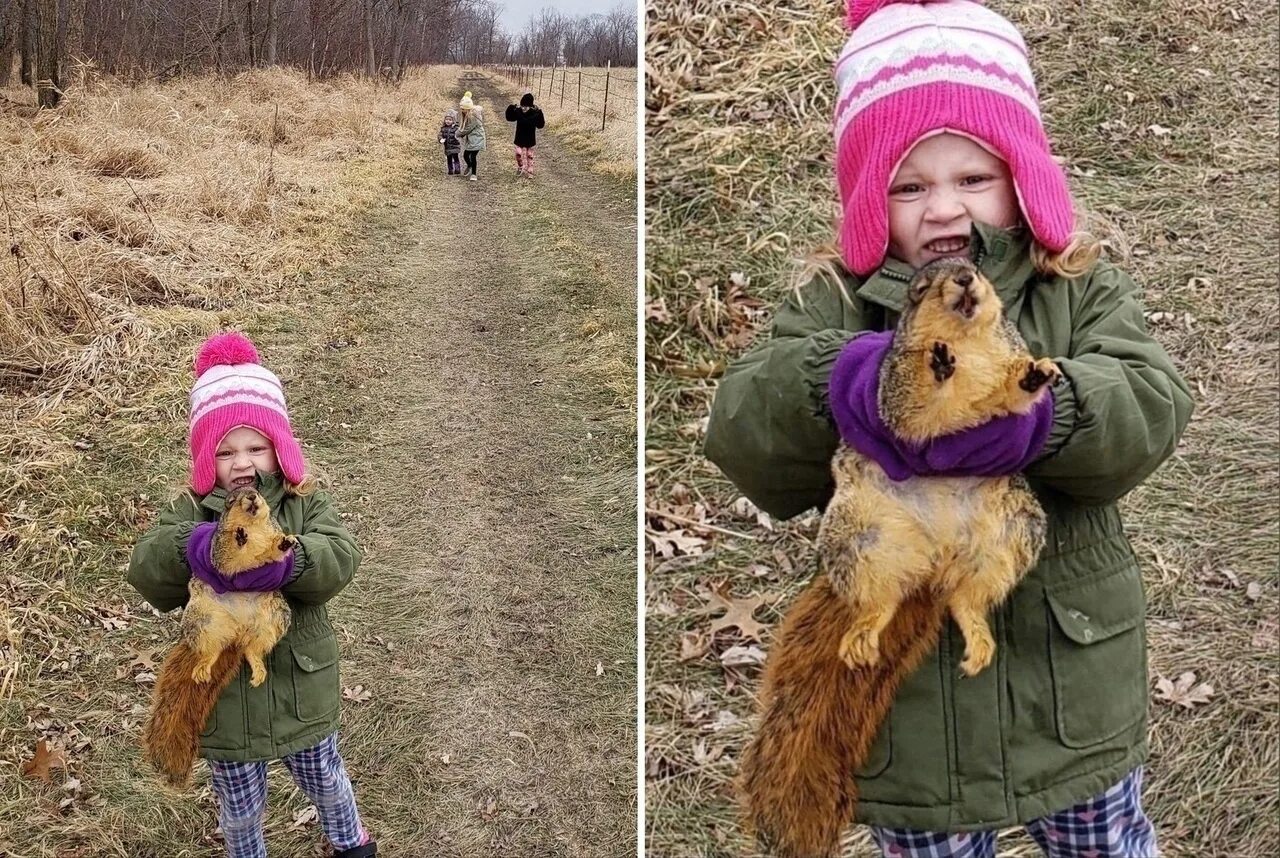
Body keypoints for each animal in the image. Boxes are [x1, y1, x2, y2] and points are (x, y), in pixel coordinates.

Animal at [144, 486, 293, 788]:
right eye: (230, 500)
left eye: (256, 491)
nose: (251, 498)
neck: (253, 526)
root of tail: (237, 634)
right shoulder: (220, 553)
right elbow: (228, 558)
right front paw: (238, 537)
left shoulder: (269, 540)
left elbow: (272, 552)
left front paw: (286, 543)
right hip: (203, 622)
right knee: (210, 652)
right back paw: (203, 666)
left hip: (273, 618)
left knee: (253, 650)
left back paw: (257, 665)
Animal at [742, 259, 1059, 858]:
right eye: (920, 288)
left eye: (974, 268)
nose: (965, 280)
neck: (966, 340)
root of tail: (934, 566)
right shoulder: (897, 394)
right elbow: (915, 409)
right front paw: (935, 365)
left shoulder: (1000, 377)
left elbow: (1007, 398)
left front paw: (1034, 376)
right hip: (860, 539)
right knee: (879, 602)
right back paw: (865, 632)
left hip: (1010, 532)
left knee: (967, 601)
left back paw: (976, 632)